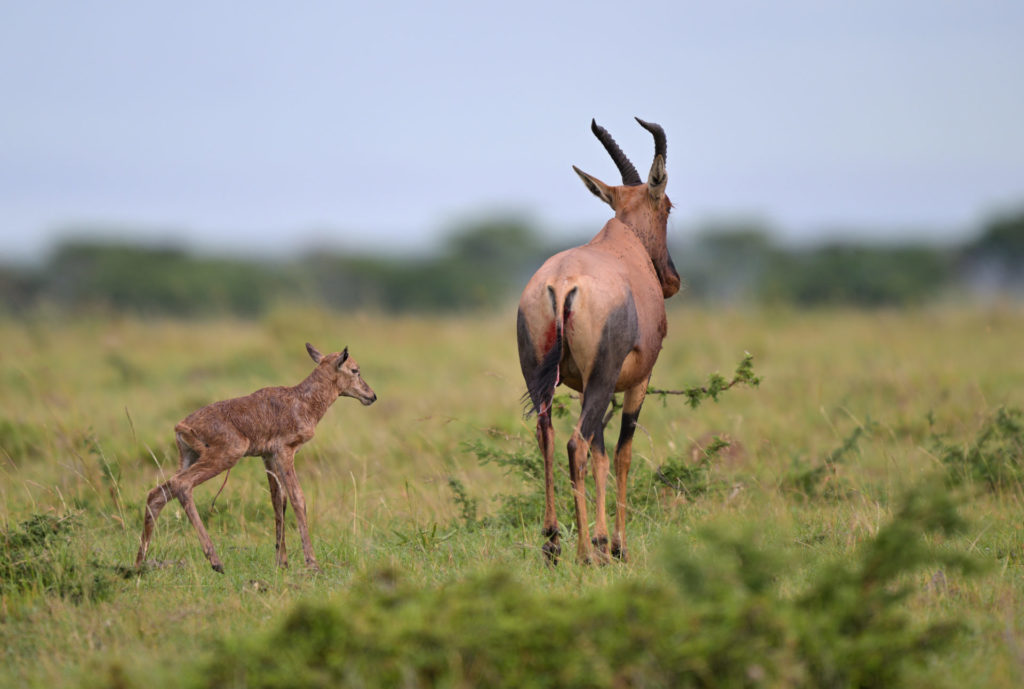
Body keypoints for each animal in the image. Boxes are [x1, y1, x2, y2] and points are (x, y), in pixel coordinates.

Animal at [135, 341, 376, 573]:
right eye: (355, 369)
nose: (371, 396)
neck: (300, 400)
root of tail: (181, 426)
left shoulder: (268, 457)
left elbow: (278, 501)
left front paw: (282, 562)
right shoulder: (285, 452)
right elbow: (297, 498)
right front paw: (312, 563)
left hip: (189, 458)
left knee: (157, 494)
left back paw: (139, 564)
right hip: (225, 456)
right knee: (181, 484)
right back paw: (216, 562)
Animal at [516, 115, 675, 561]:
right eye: (668, 206)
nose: (672, 281)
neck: (621, 244)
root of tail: (561, 282)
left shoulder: (588, 384)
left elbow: (601, 455)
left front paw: (605, 540)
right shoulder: (636, 381)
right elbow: (621, 454)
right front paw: (616, 545)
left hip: (541, 378)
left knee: (548, 435)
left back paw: (553, 541)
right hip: (603, 379)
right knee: (575, 444)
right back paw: (584, 552)